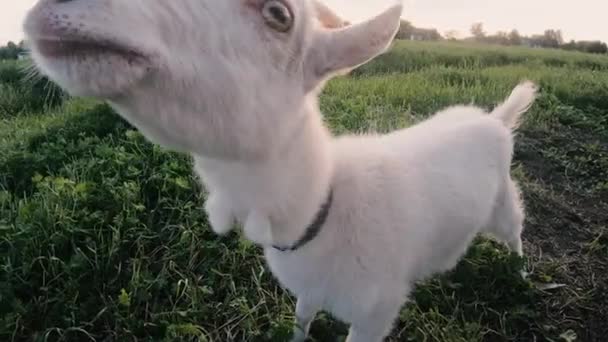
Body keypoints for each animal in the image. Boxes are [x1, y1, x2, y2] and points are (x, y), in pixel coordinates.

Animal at [25, 0, 536, 340]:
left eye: (279, 14)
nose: (51, 9)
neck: (325, 210)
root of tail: (496, 119)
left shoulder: (375, 312)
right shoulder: (308, 288)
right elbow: (302, 318)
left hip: (503, 203)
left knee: (515, 230)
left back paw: (521, 273)